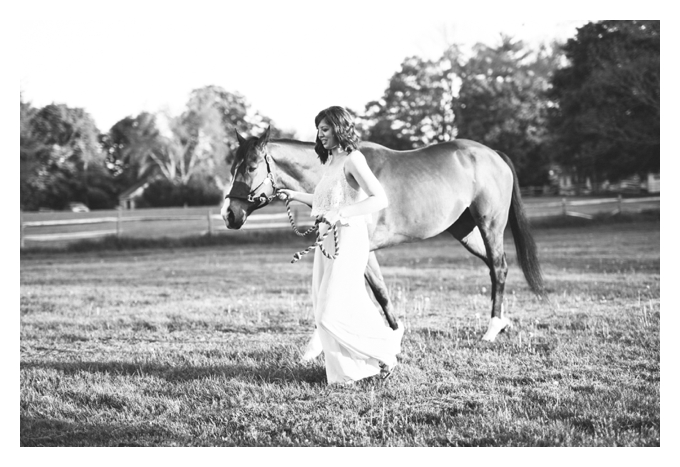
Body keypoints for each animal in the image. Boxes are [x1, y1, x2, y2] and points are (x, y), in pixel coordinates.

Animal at [222, 126, 545, 342]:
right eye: (232, 168)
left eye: (251, 167)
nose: (229, 214)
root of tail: (492, 154)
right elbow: (376, 291)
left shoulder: (360, 250)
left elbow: (376, 292)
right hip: (465, 231)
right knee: (496, 266)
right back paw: (502, 323)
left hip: (490, 225)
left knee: (499, 268)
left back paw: (491, 329)